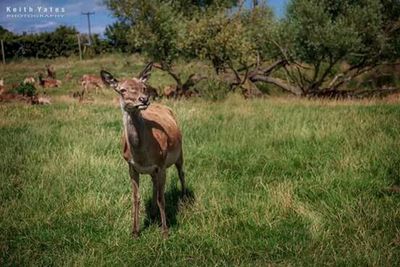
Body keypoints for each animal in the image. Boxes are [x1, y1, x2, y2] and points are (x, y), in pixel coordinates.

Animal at [101, 62, 187, 239]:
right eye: (122, 90)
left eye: (144, 87)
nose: (144, 99)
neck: (142, 155)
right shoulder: (131, 166)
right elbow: (136, 198)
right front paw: (135, 231)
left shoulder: (161, 164)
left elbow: (162, 198)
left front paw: (165, 232)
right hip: (154, 170)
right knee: (155, 183)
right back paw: (153, 213)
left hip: (179, 152)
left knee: (181, 173)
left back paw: (183, 199)